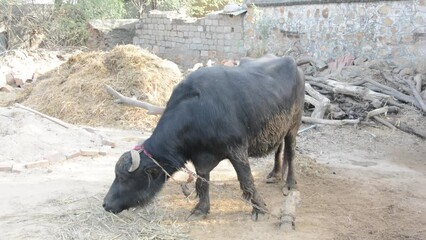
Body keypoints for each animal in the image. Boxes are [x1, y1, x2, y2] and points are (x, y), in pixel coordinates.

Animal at [103, 55, 304, 220]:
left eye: (123, 178)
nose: (105, 204)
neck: (200, 111)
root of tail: (295, 66)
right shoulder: (201, 158)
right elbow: (202, 182)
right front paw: (201, 209)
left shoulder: (237, 149)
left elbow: (246, 180)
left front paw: (259, 208)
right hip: (279, 125)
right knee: (279, 148)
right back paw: (275, 174)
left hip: (294, 123)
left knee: (290, 150)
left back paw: (290, 183)